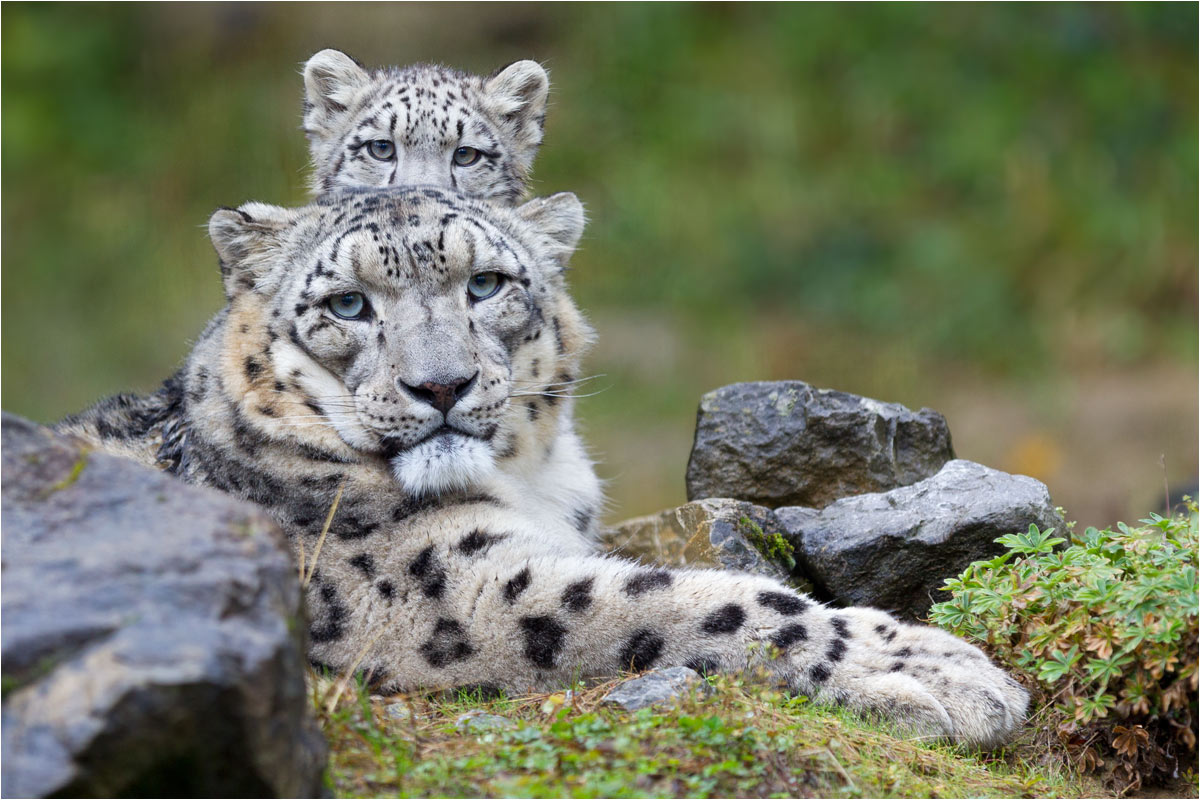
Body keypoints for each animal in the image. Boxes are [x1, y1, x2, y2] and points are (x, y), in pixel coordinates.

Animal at [58, 187, 1029, 748]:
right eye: (348, 304)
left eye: (486, 284)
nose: (440, 383)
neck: (528, 481)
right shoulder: (456, 591)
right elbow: (708, 602)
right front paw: (944, 675)